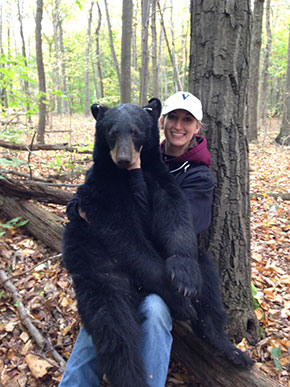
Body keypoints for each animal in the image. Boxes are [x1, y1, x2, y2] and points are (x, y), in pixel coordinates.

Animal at [62, 99, 253, 387]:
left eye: (135, 131)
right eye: (112, 132)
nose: (124, 159)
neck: (125, 176)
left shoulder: (159, 176)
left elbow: (175, 212)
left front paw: (184, 278)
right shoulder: (102, 193)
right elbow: (123, 234)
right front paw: (178, 297)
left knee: (207, 279)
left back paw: (229, 349)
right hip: (98, 267)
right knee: (114, 325)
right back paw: (133, 375)